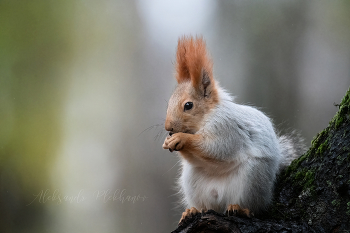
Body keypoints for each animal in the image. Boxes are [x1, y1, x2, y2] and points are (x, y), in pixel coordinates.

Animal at [162, 35, 306, 223]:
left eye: (188, 105)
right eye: (169, 103)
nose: (168, 127)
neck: (205, 119)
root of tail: (219, 198)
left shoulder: (228, 128)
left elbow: (218, 148)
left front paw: (181, 138)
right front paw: (169, 141)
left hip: (252, 179)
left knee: (254, 207)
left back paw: (240, 209)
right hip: (192, 181)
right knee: (205, 205)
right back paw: (193, 210)